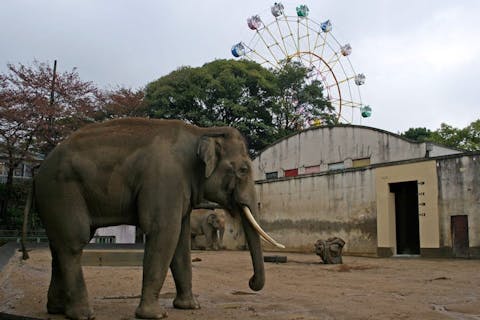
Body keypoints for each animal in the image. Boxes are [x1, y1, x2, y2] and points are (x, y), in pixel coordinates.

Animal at [22, 119, 284, 318]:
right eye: (243, 170)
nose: (250, 281)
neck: (202, 131)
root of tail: (38, 170)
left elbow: (180, 242)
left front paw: (190, 307)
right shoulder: (166, 178)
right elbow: (164, 231)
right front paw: (155, 315)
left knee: (58, 246)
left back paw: (57, 310)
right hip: (62, 191)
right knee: (73, 243)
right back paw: (83, 314)